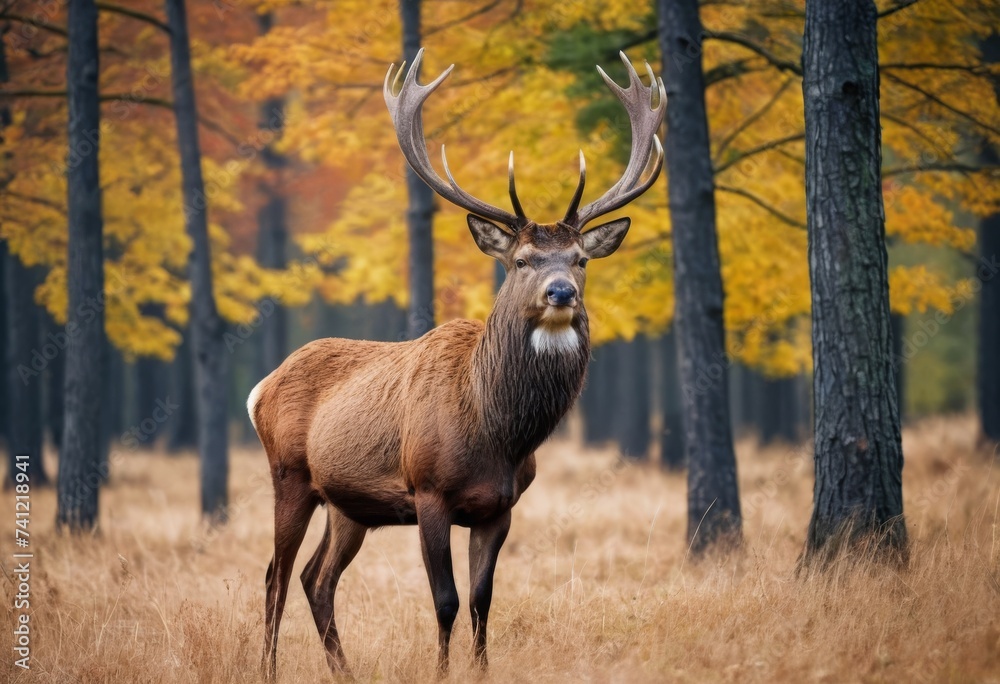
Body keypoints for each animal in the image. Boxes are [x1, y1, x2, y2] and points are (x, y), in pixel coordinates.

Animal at [250, 48, 665, 680]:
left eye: (580, 259)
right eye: (522, 260)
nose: (562, 293)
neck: (496, 429)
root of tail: (260, 387)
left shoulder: (500, 506)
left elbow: (482, 599)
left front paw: (482, 668)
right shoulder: (428, 491)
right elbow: (444, 598)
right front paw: (443, 670)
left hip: (349, 505)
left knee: (315, 578)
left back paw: (344, 669)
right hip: (290, 475)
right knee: (275, 575)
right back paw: (268, 668)